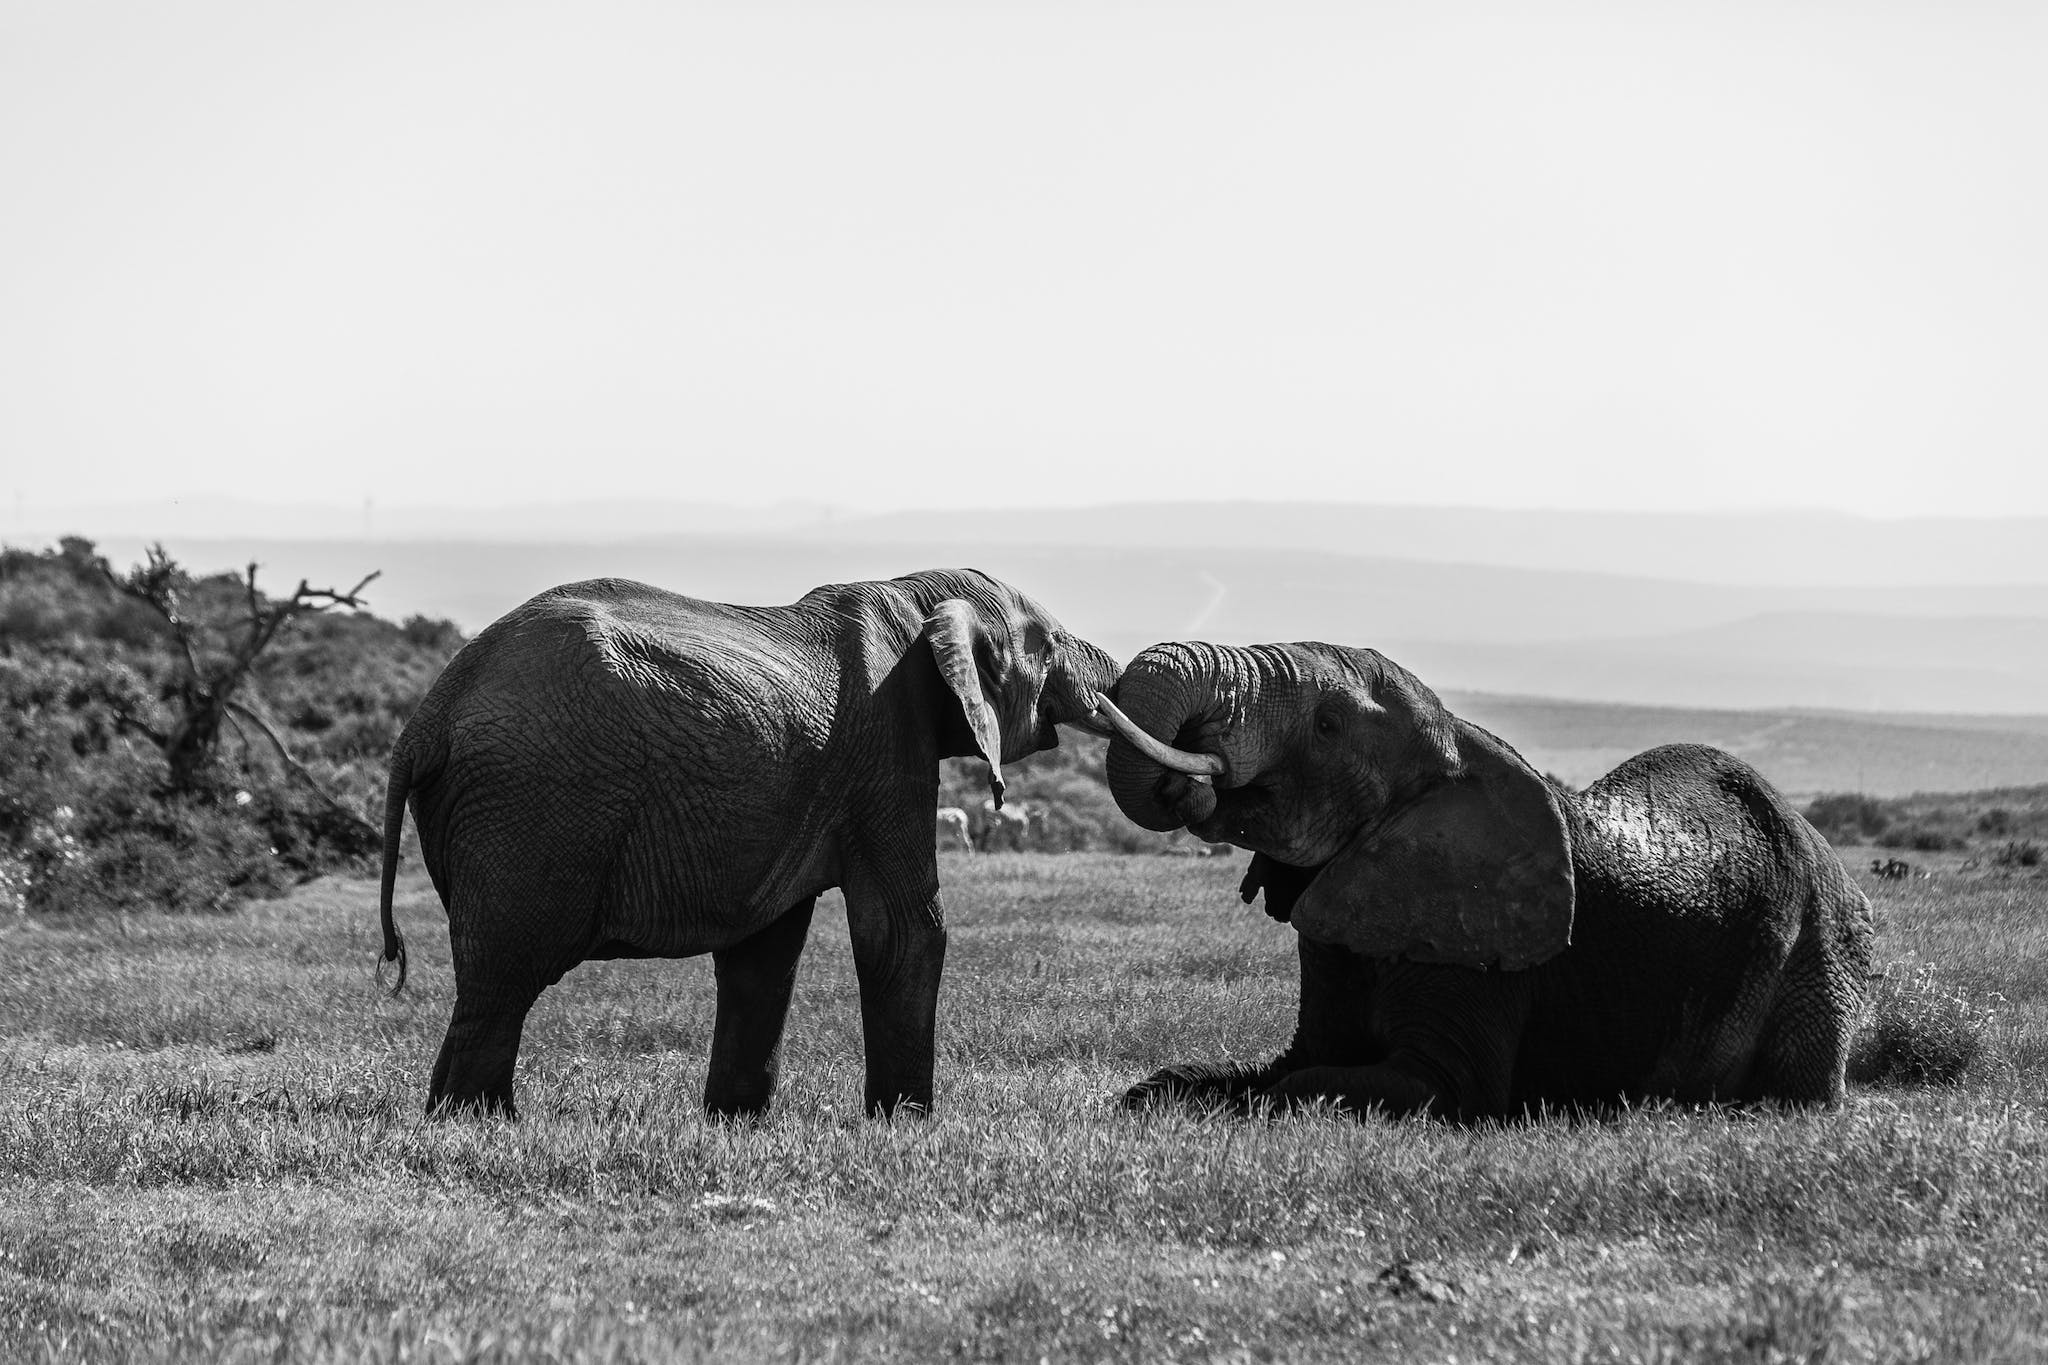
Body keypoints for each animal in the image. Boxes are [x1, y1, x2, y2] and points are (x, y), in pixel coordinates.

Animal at [375, 568, 1119, 1119]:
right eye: (1052, 642)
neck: (919, 597)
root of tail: (428, 715)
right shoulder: (888, 748)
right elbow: (905, 929)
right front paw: (907, 1124)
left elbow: (765, 952)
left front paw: (735, 1123)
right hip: (535, 807)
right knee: (505, 978)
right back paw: (481, 1124)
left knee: (491, 978)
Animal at [1093, 640, 1875, 1121]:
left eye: (1329, 724)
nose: (1189, 774)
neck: (1459, 747)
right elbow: (1283, 1064)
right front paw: (1156, 1091)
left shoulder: (1477, 951)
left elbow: (1380, 1083)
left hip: (1822, 949)